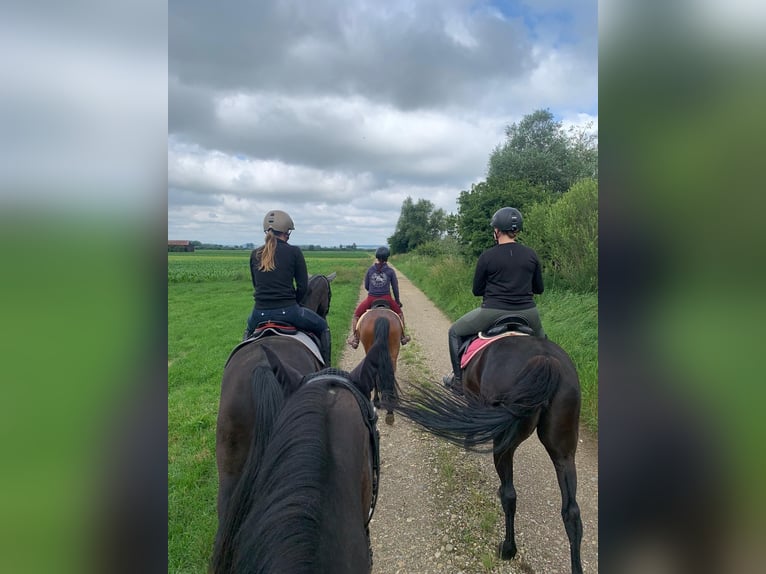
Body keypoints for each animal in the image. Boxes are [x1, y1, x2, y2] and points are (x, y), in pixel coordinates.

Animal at [388, 338, 584, 574]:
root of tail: (546, 361)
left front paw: (467, 443)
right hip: (563, 452)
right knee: (571, 512)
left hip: (503, 444)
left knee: (510, 495)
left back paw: (508, 549)